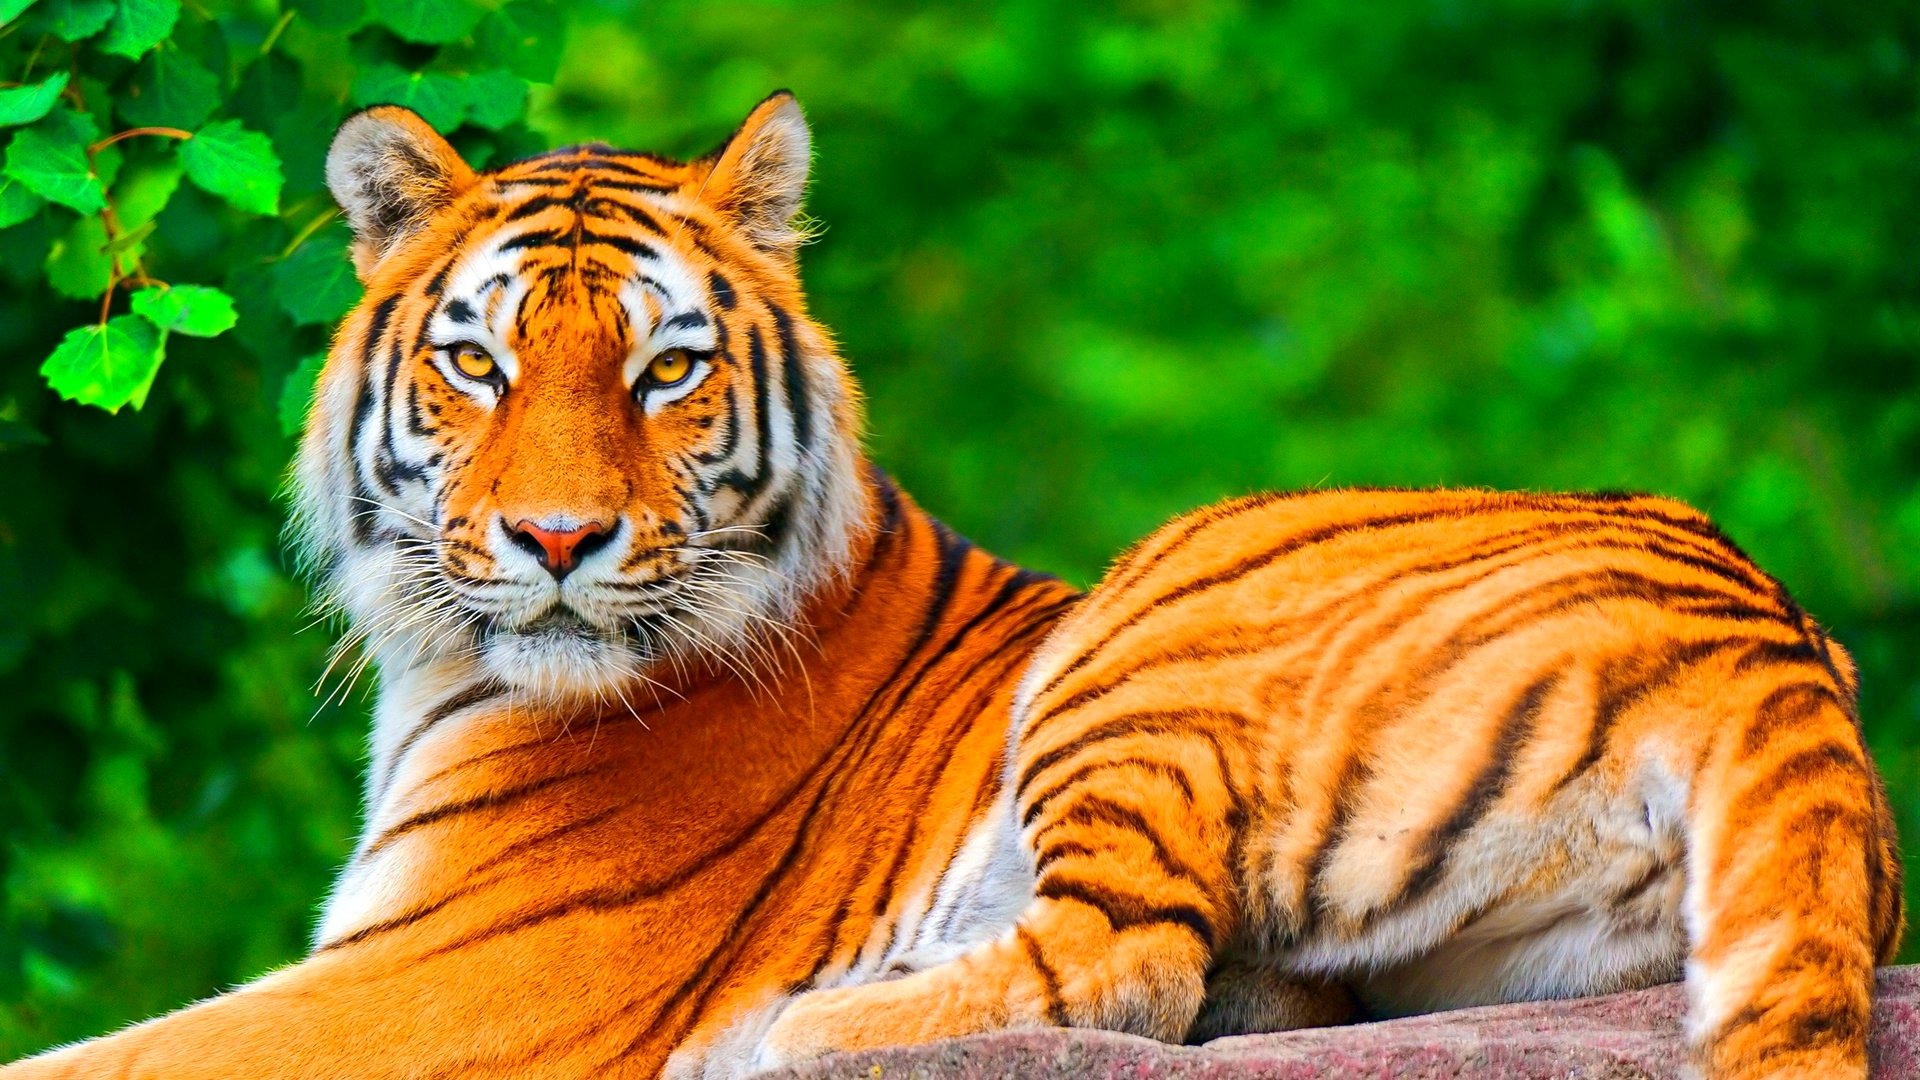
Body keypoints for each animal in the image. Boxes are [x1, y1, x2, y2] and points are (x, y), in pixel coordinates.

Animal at [3, 92, 1900, 1080]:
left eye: (664, 371)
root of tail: (1775, 640)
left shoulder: (453, 979)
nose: (555, 544)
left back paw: (798, 1028)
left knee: (1129, 962)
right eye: (479, 363)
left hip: (1152, 622)